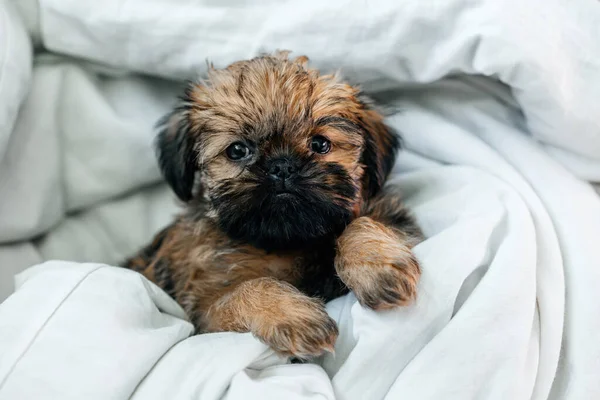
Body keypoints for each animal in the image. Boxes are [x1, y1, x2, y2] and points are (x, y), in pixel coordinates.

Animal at [123, 51, 422, 358]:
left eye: (320, 144)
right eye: (237, 150)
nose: (282, 166)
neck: (286, 241)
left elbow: (360, 222)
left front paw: (375, 265)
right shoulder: (203, 313)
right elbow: (247, 289)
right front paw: (292, 314)